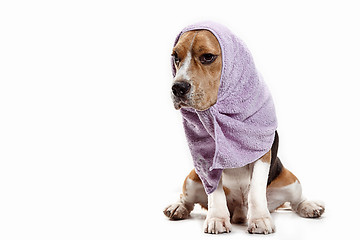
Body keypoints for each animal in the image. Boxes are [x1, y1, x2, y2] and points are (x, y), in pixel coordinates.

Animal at [163, 23, 324, 234]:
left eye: (208, 57)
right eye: (175, 57)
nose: (177, 88)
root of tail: (239, 211)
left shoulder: (261, 151)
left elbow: (256, 189)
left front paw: (260, 219)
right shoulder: (206, 161)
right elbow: (215, 193)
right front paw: (217, 218)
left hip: (290, 180)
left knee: (297, 200)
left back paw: (310, 206)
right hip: (192, 178)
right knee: (188, 200)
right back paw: (178, 207)